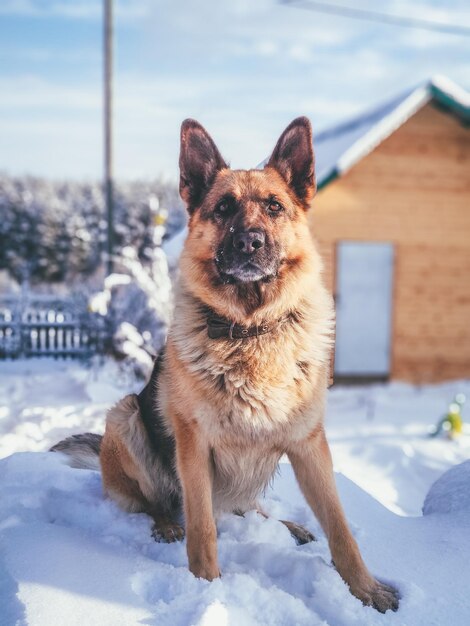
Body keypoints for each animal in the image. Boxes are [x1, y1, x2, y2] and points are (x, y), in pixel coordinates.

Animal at [51, 116, 398, 608]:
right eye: (223, 208)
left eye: (274, 206)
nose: (249, 242)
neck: (251, 330)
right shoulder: (194, 447)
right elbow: (202, 529)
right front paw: (206, 590)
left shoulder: (309, 444)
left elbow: (340, 527)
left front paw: (366, 591)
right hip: (126, 414)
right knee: (161, 504)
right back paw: (166, 524)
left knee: (249, 508)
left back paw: (288, 527)